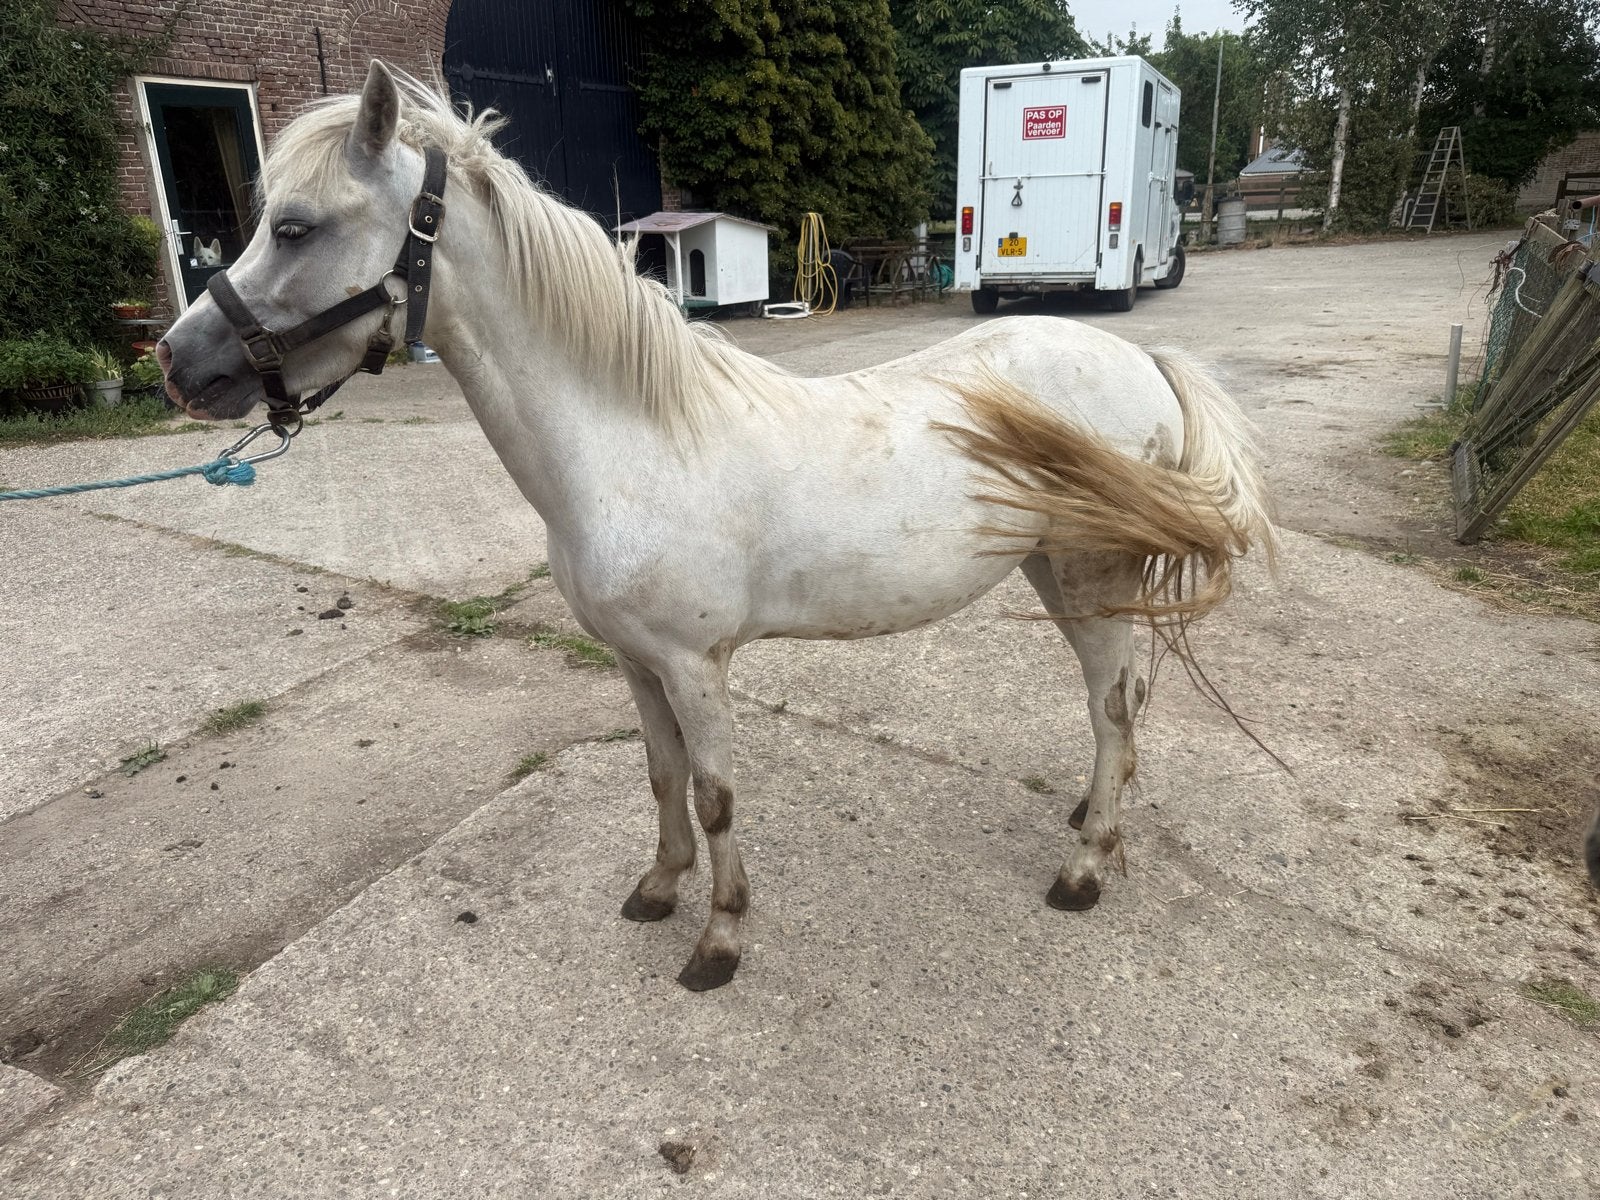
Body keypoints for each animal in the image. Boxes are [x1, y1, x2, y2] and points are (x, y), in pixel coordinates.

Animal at [157, 62, 1276, 991]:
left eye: (295, 227)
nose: (176, 361)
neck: (631, 437)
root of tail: (1142, 360)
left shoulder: (696, 666)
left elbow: (716, 795)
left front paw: (720, 940)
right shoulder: (635, 661)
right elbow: (660, 778)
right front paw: (659, 890)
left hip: (1089, 579)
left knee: (1114, 709)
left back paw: (1084, 867)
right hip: (1052, 570)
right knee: (1120, 704)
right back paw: (1093, 820)